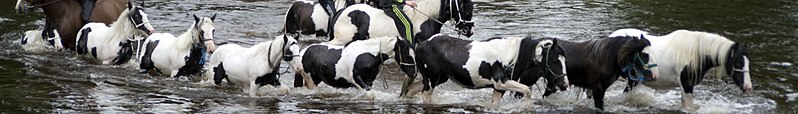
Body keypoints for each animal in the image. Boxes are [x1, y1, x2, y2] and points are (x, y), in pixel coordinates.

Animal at [406, 34, 568, 104]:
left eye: (564, 60)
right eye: (555, 61)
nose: (564, 84)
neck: (511, 56)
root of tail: (420, 45)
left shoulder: (498, 88)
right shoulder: (501, 82)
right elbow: (527, 91)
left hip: (439, 78)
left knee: (410, 90)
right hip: (432, 80)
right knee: (425, 96)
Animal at [608, 28, 752, 111]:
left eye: (748, 63)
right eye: (738, 63)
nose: (748, 87)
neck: (693, 53)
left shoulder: (685, 87)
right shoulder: (687, 85)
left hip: (633, 80)